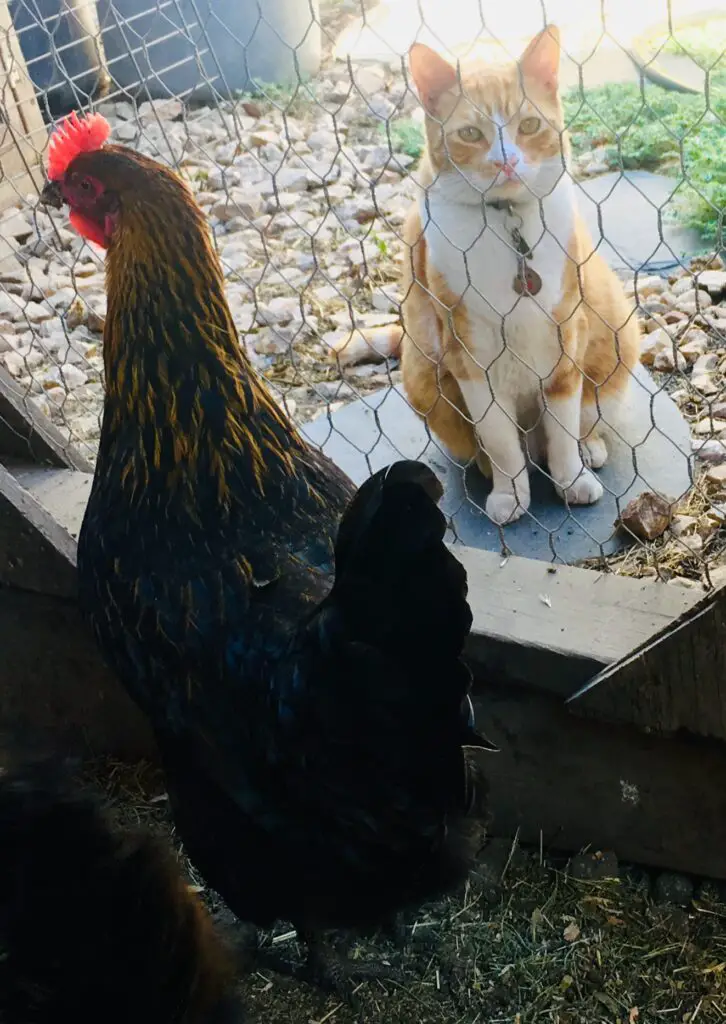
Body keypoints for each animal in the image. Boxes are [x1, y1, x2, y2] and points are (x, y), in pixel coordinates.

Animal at [352, 28, 638, 524]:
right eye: (470, 133)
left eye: (529, 126)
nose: (507, 162)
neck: (507, 225)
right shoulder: (469, 355)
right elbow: (500, 440)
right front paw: (509, 493)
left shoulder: (566, 338)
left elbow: (563, 425)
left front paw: (571, 479)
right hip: (423, 369)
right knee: (494, 445)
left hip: (617, 339)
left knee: (579, 423)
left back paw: (589, 449)